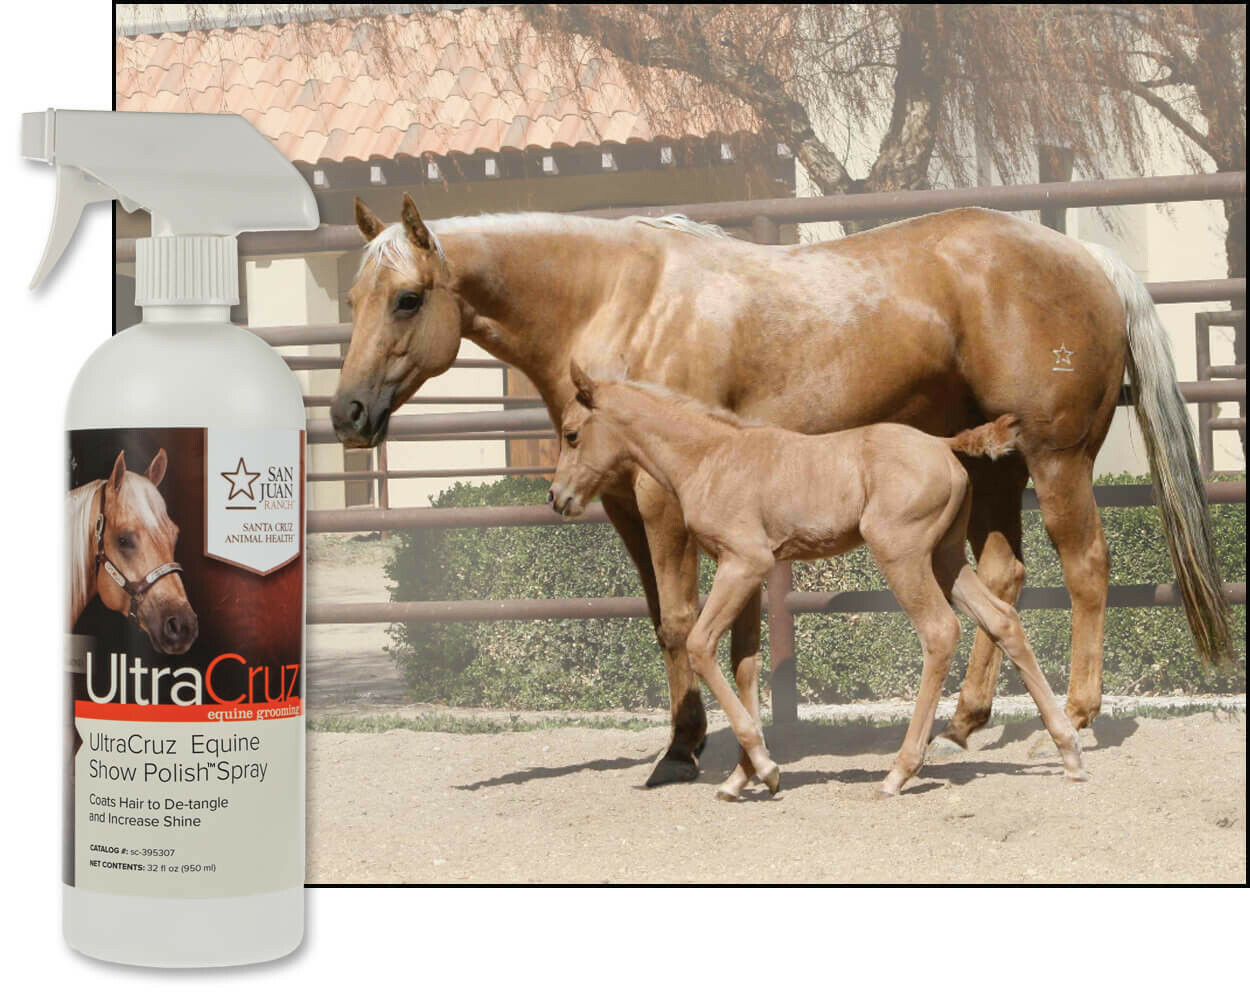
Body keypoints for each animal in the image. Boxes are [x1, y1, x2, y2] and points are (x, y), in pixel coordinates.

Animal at [550, 363, 1086, 798]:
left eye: (572, 434)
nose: (557, 497)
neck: (710, 457)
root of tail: (942, 443)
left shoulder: (742, 563)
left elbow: (701, 646)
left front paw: (765, 768)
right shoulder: (748, 571)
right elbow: (745, 664)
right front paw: (742, 777)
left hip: (903, 555)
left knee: (940, 632)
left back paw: (899, 772)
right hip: (945, 557)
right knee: (1002, 619)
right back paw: (1068, 751)